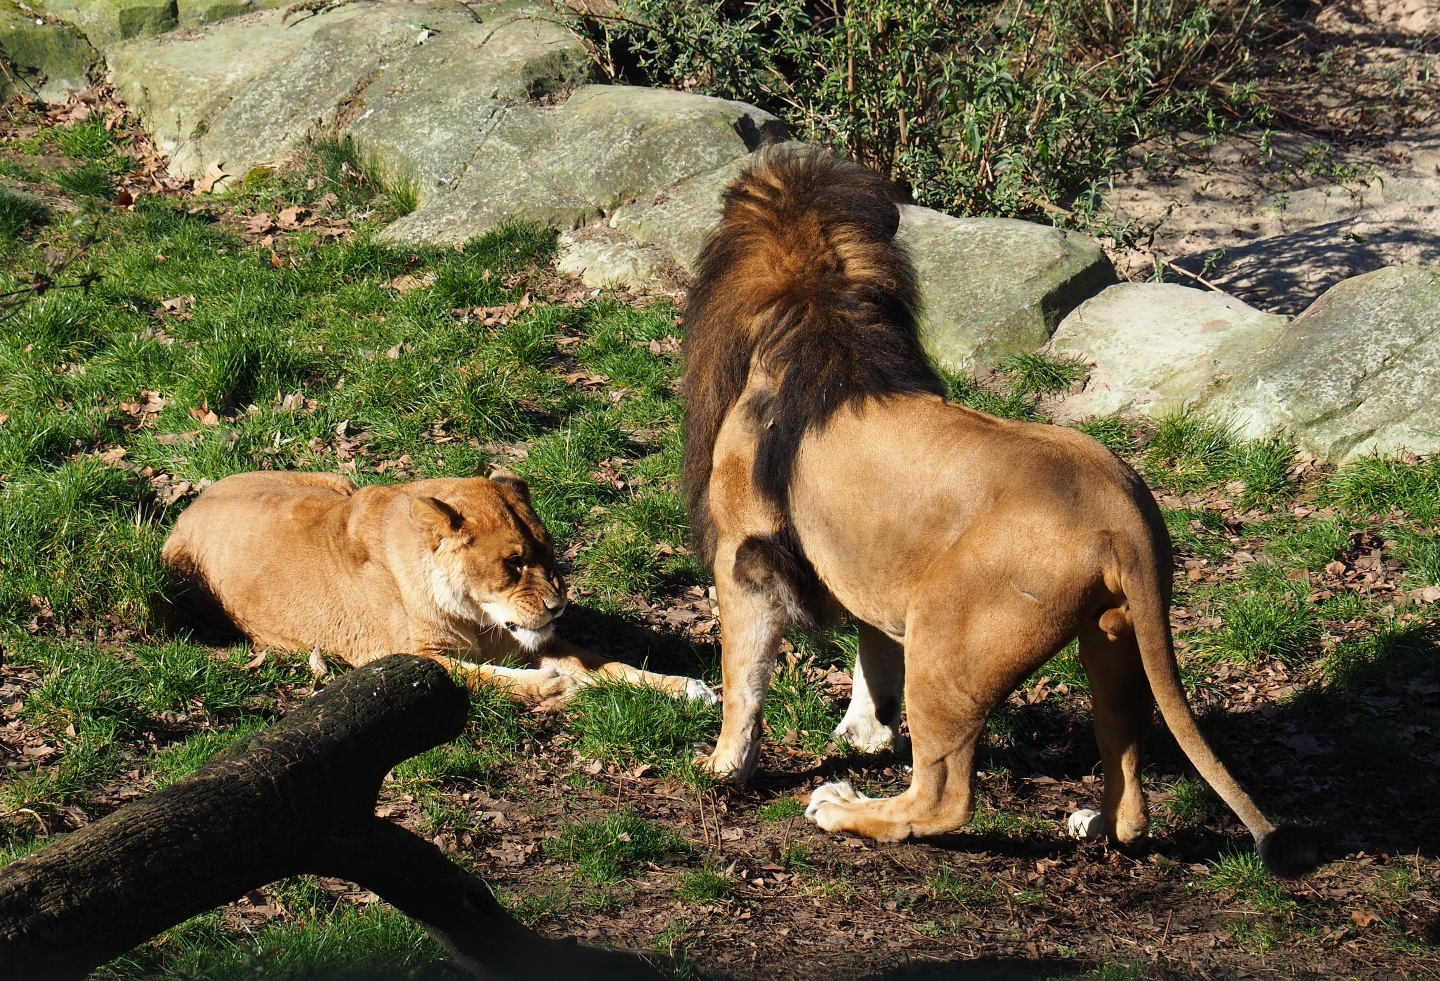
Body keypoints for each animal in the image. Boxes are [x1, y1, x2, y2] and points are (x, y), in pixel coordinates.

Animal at [161, 470, 715, 710]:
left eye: (549, 552)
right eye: (514, 563)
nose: (558, 607)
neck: (476, 615)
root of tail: (192, 503)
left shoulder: (528, 639)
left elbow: (613, 665)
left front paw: (690, 687)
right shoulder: (403, 657)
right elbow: (485, 677)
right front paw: (552, 685)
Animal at [679, 146, 1317, 877]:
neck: (821, 313)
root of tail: (1122, 513)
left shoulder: (744, 551)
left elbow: (744, 674)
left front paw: (724, 766)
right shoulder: (869, 565)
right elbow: (873, 652)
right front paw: (865, 731)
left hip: (944, 637)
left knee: (945, 797)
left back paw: (843, 809)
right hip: (1115, 639)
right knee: (1129, 787)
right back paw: (1095, 822)